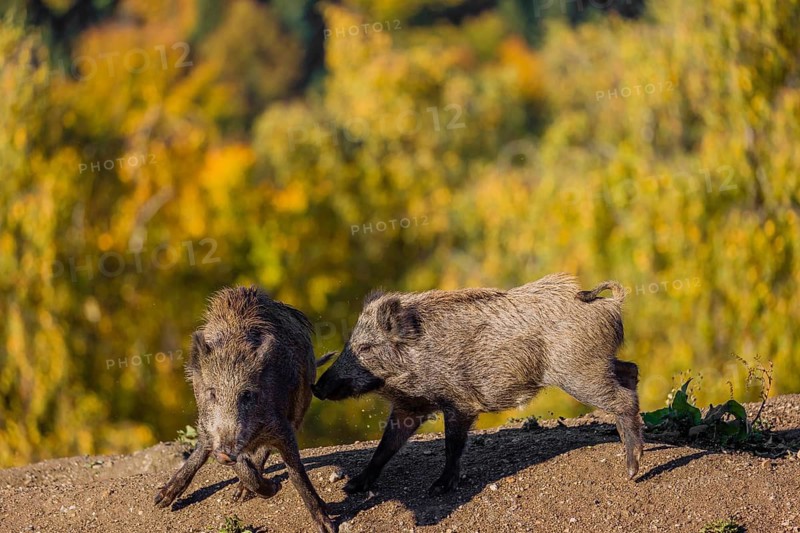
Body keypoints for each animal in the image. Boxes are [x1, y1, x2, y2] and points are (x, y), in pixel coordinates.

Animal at [153, 286, 336, 533]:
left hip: (302, 401)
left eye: (247, 394)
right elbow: (239, 465)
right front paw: (269, 488)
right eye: (212, 393)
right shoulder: (214, 429)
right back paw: (161, 500)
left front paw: (327, 527)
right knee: (204, 446)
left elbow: (296, 473)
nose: (225, 451)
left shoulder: (282, 425)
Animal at [313, 273, 643, 495]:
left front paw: (438, 488)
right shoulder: (411, 406)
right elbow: (385, 446)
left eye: (366, 347)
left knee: (623, 399)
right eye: (350, 344)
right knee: (631, 371)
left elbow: (452, 445)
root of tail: (611, 305)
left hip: (579, 373)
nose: (317, 387)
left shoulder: (459, 403)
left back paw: (632, 470)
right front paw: (352, 486)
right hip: (597, 365)